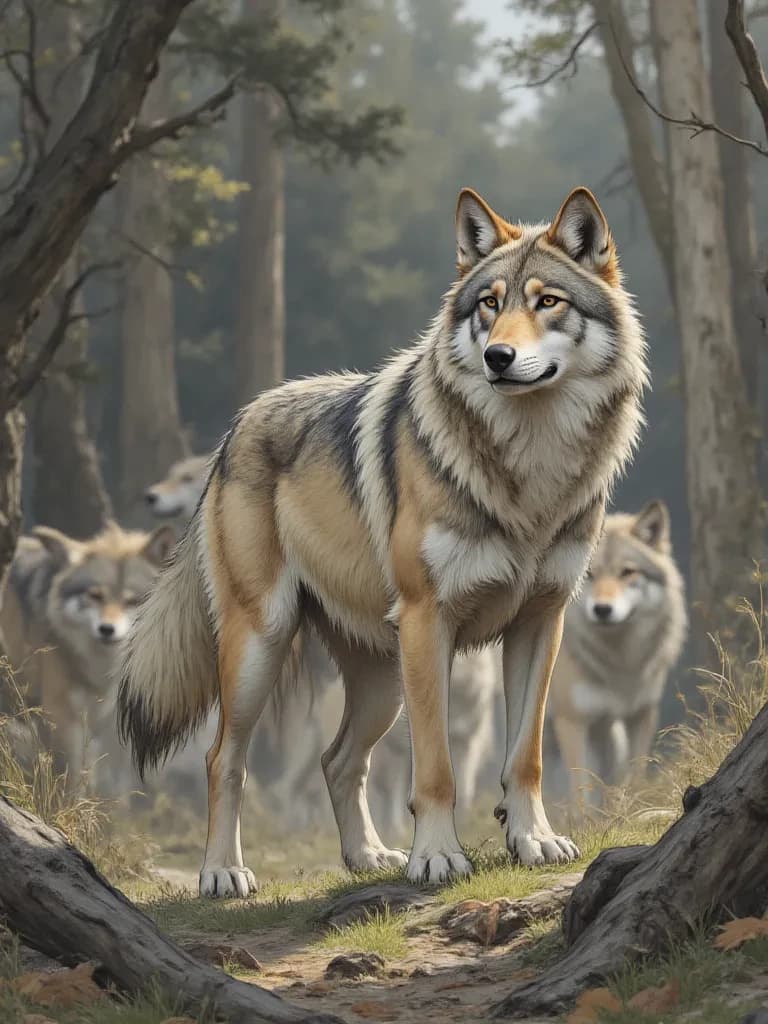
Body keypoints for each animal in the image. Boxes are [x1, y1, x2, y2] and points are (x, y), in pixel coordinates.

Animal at [1, 521, 174, 789]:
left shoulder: (97, 723)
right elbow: (69, 782)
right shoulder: (61, 716)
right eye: (95, 596)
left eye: (131, 601)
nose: (107, 629)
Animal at [119, 185, 647, 896]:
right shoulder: (430, 621)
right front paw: (438, 857)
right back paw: (224, 872)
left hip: (382, 682)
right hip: (265, 644)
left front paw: (533, 840)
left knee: (338, 760)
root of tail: (235, 428)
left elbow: (526, 756)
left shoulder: (542, 621)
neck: (527, 470)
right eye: (490, 304)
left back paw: (367, 857)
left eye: (547, 302)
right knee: (222, 757)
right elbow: (437, 770)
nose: (498, 357)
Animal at [548, 501, 686, 802]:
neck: (619, 665)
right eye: (588, 574)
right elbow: (581, 797)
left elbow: (633, 778)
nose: (602, 609)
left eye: (627, 572)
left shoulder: (640, 714)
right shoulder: (572, 722)